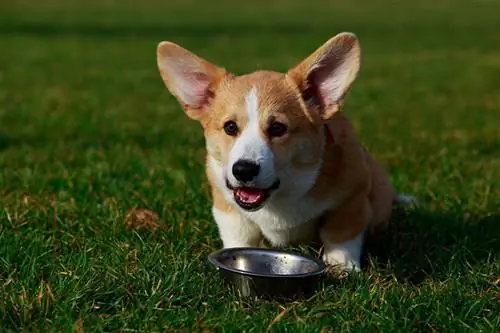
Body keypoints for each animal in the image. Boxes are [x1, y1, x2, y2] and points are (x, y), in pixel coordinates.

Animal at [156, 32, 414, 272]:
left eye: (278, 128)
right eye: (230, 127)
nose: (243, 170)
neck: (279, 199)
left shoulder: (353, 197)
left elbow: (340, 233)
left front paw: (342, 267)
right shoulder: (226, 205)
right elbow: (239, 234)